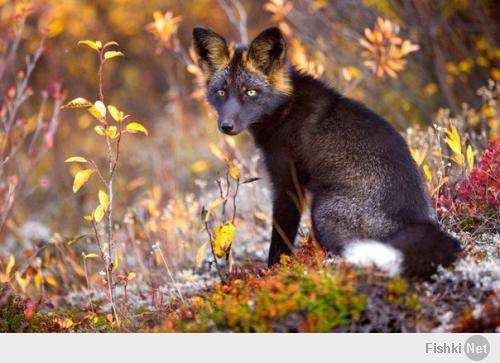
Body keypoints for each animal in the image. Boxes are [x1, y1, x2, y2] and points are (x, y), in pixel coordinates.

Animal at [191, 27, 460, 280]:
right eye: (221, 92)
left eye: (250, 92)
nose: (226, 126)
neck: (285, 108)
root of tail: (418, 223)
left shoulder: (288, 184)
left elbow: (279, 240)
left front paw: (273, 271)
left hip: (320, 211)